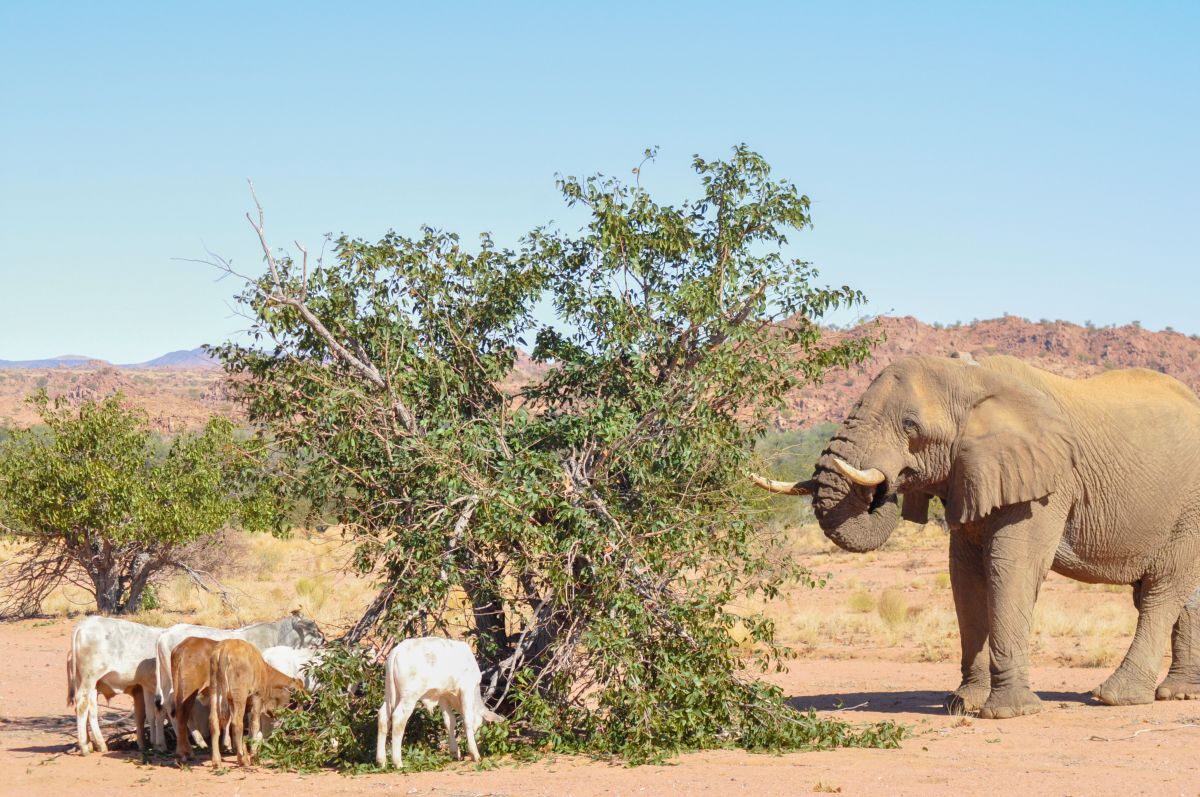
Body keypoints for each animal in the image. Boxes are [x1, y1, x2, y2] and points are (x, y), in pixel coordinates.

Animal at [752, 353, 1200, 719]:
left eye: (910, 426)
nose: (885, 487)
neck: (970, 377)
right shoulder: (969, 472)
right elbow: (964, 574)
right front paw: (962, 704)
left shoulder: (1047, 482)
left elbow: (1011, 566)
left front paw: (1010, 713)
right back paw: (1178, 693)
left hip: (1188, 506)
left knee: (1162, 589)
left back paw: (1115, 697)